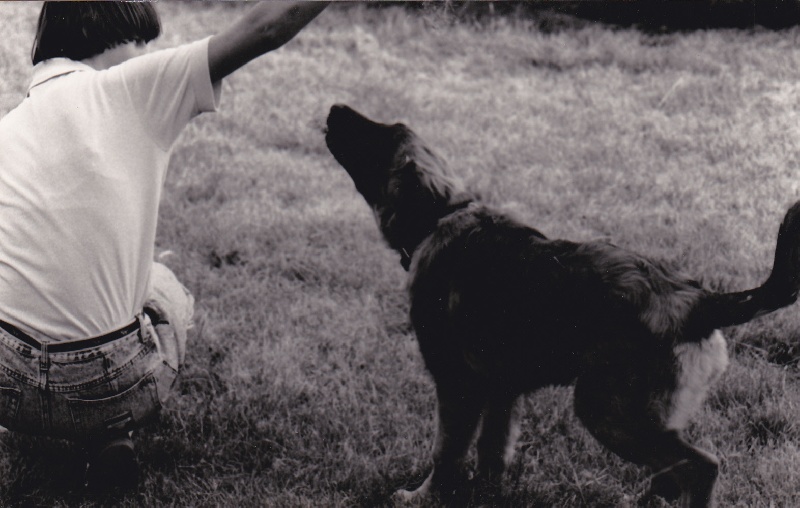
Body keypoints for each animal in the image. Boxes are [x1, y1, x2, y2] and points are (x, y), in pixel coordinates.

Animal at [324, 104, 800, 508]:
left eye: (378, 137)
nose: (334, 108)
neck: (440, 215)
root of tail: (697, 299)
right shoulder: (501, 390)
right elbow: (492, 452)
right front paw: (484, 494)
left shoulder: (457, 384)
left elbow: (446, 453)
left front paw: (422, 496)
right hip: (637, 414)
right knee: (671, 471)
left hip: (607, 410)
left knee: (701, 467)